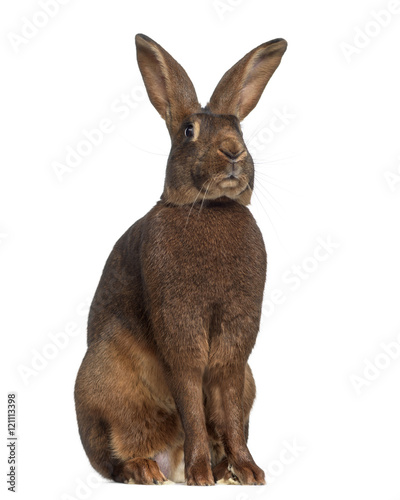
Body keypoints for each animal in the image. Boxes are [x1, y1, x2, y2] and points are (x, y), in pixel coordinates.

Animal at [74, 34, 288, 484]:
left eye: (238, 128)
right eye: (189, 131)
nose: (233, 151)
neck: (210, 207)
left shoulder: (234, 346)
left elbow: (225, 402)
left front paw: (249, 472)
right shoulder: (181, 330)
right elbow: (190, 398)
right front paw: (200, 476)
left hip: (249, 381)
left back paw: (222, 469)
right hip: (103, 381)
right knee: (112, 457)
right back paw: (146, 470)